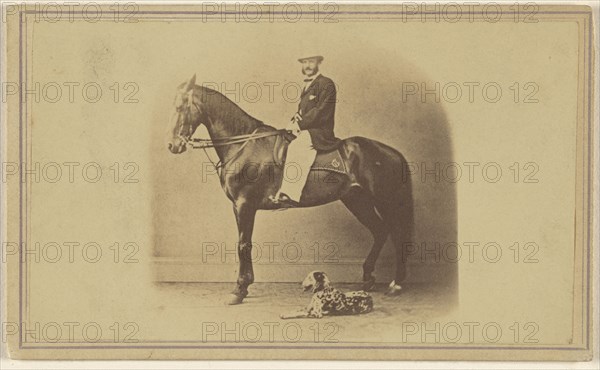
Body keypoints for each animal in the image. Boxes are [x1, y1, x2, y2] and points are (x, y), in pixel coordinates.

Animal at [166, 74, 414, 304]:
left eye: (180, 107)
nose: (172, 145)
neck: (243, 144)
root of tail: (393, 152)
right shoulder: (242, 206)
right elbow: (245, 244)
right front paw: (244, 287)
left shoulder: (244, 204)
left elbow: (243, 245)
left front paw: (239, 289)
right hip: (357, 200)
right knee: (380, 231)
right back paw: (368, 278)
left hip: (386, 201)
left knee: (397, 234)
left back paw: (395, 283)